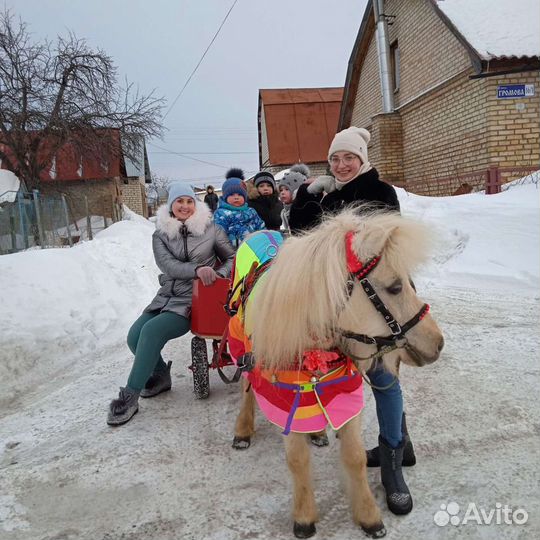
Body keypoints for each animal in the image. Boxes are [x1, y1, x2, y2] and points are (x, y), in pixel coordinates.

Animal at [228, 209, 442, 536]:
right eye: (394, 286)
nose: (437, 342)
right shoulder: (284, 399)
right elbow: (297, 459)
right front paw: (304, 517)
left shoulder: (343, 390)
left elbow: (354, 456)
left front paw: (368, 515)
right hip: (242, 349)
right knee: (246, 387)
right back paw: (243, 428)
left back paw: (316, 432)